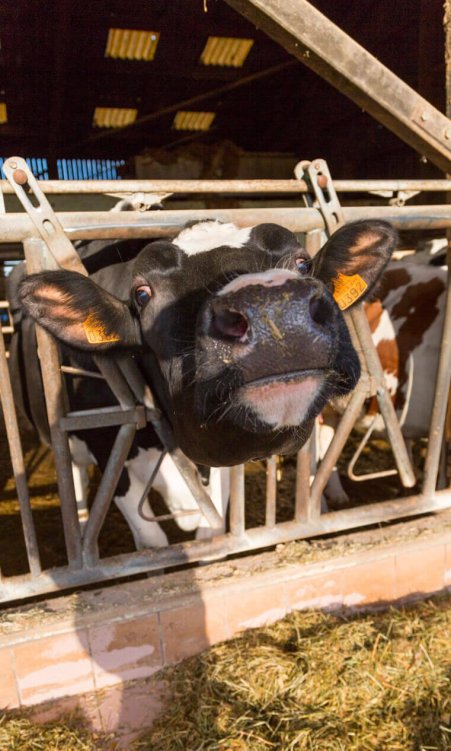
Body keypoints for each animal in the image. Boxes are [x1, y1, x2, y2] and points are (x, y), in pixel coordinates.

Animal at [12, 219, 396, 547]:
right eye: (142, 294)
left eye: (302, 264)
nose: (272, 307)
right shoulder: (109, 447)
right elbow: (153, 541)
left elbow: (211, 529)